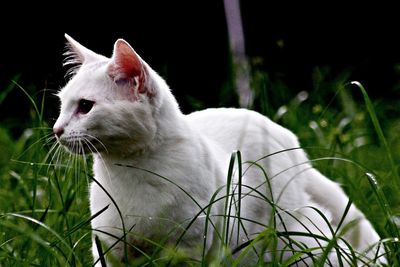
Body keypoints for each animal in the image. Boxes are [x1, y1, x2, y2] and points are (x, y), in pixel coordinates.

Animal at [53, 34, 384, 266]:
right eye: (61, 105)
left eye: (85, 107)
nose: (56, 130)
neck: (130, 169)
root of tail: (288, 140)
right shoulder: (109, 250)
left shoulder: (189, 249)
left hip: (288, 236)